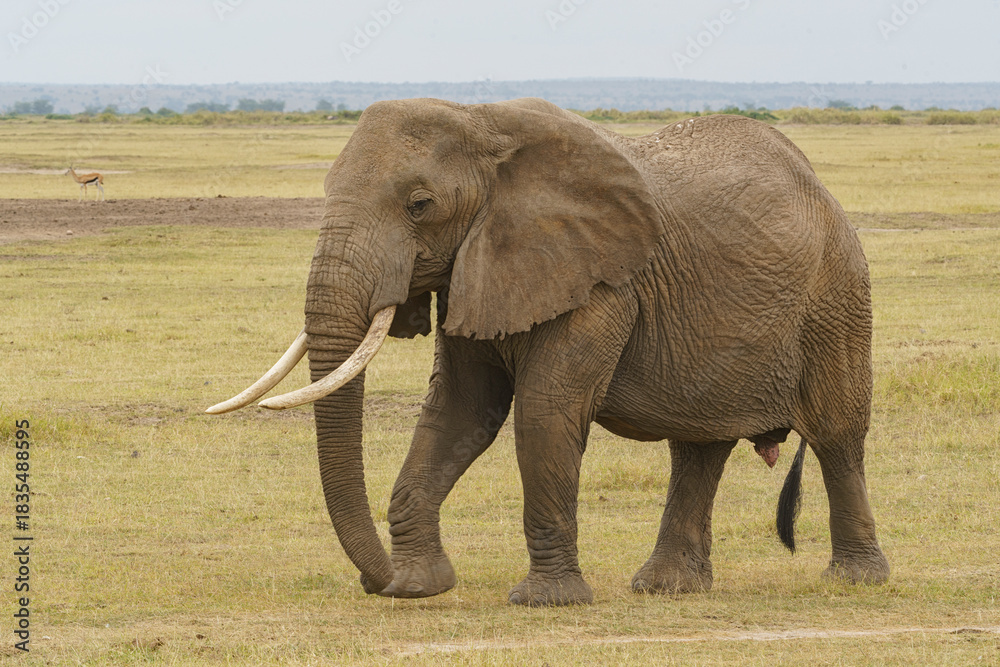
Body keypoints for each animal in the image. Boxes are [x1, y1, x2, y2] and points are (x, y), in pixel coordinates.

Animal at [207, 97, 889, 606]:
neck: (485, 124)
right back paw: (667, 588)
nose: (376, 582)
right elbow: (459, 412)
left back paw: (855, 580)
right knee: (698, 448)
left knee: (836, 433)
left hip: (837, 298)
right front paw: (422, 586)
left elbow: (544, 410)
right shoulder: (476, 267)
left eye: (419, 205)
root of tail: (819, 187)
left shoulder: (601, 283)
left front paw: (545, 601)